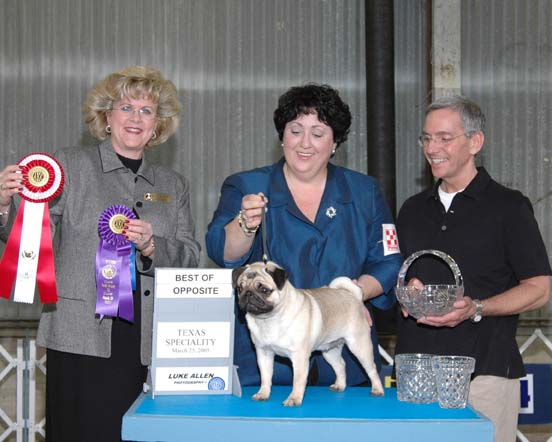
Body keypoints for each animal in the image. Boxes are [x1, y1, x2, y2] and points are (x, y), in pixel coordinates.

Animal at [232, 260, 384, 406]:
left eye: (264, 289)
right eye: (240, 288)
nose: (248, 294)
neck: (268, 319)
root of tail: (353, 296)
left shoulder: (299, 357)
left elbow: (298, 380)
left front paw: (294, 399)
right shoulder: (264, 354)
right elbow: (265, 377)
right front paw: (263, 394)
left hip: (359, 347)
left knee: (372, 369)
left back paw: (377, 390)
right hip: (330, 351)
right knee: (341, 365)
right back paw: (340, 385)